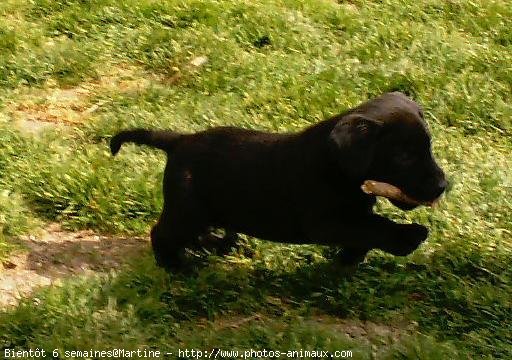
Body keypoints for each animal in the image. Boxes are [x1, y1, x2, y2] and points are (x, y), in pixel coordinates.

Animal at [110, 91, 446, 268]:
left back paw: (218, 246)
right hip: (187, 210)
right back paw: (177, 268)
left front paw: (347, 261)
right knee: (161, 234)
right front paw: (407, 237)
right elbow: (374, 226)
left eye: (429, 147)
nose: (443, 186)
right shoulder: (326, 222)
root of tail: (179, 141)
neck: (338, 166)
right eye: (403, 157)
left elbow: (365, 231)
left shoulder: (352, 216)